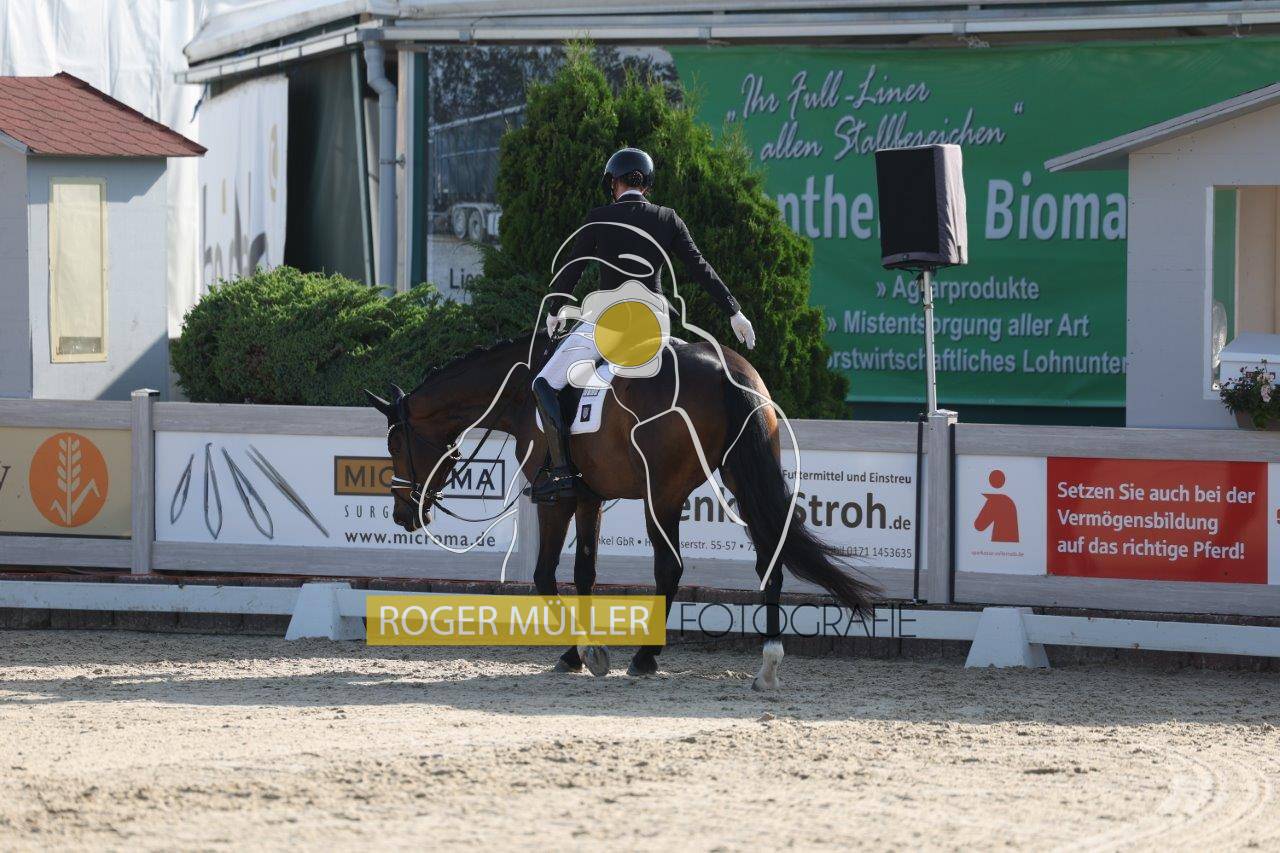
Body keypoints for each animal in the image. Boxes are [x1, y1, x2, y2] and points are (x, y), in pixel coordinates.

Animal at [365, 332, 876, 689]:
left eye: (395, 445)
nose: (403, 515)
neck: (521, 391)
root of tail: (722, 367)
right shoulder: (590, 497)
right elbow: (585, 573)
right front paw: (576, 653)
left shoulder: (557, 499)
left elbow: (545, 576)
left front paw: (586, 653)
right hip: (741, 481)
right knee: (769, 559)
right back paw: (767, 664)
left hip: (663, 495)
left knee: (670, 568)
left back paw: (645, 656)